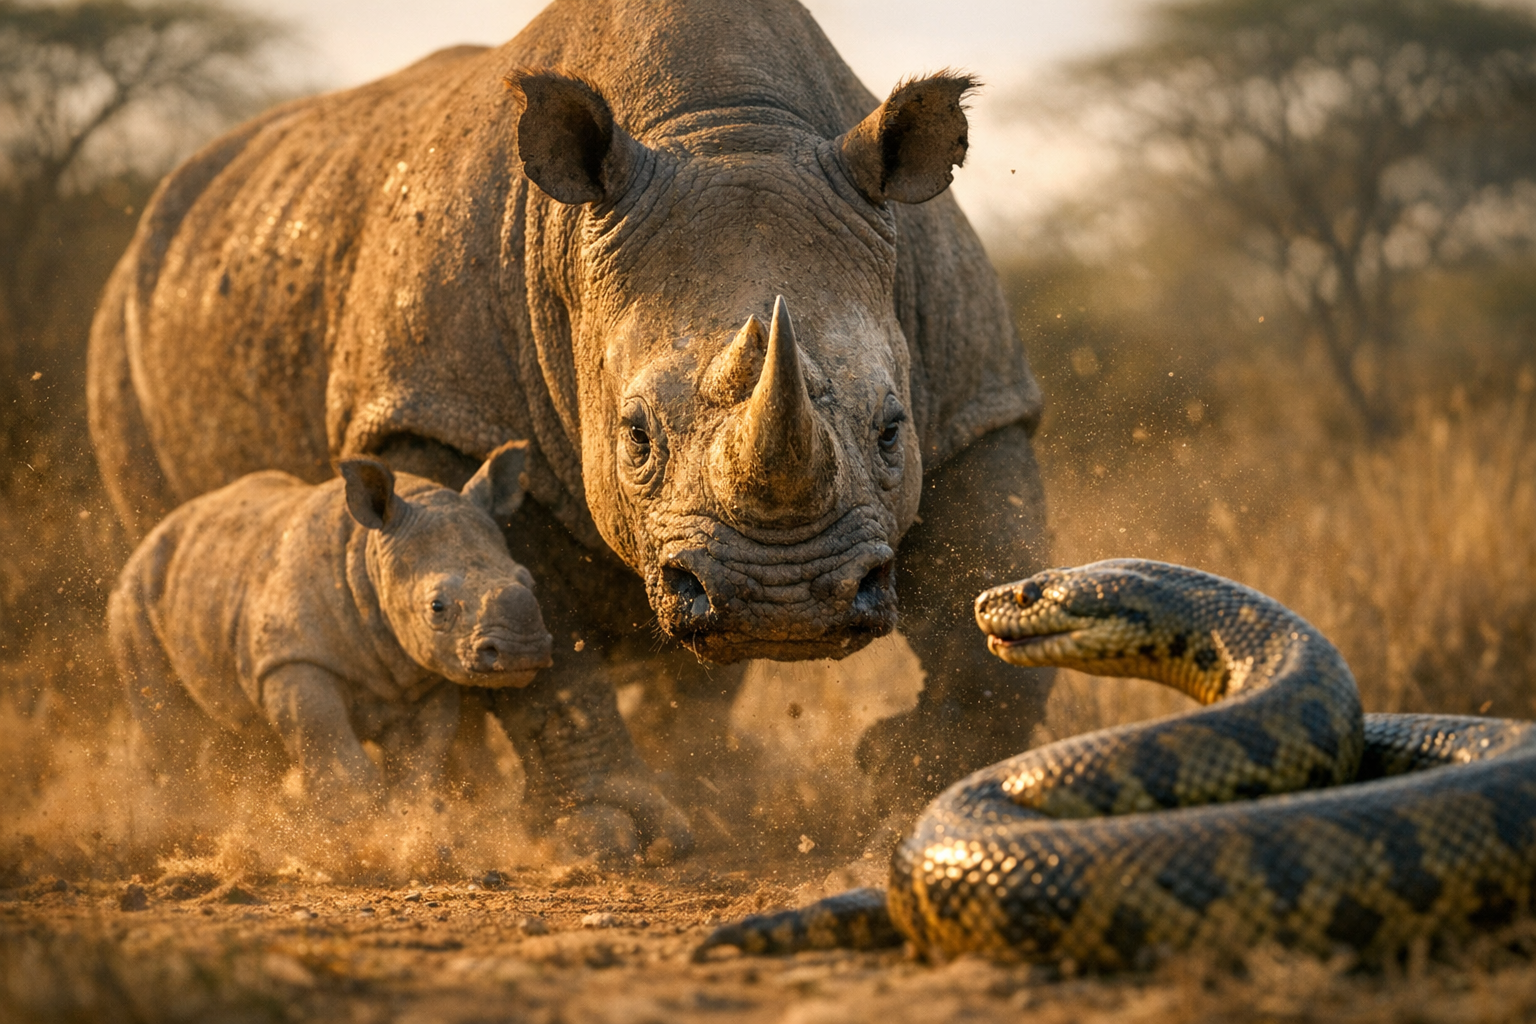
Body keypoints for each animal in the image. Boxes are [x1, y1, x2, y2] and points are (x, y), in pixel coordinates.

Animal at [109, 442, 576, 827]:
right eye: (437, 607)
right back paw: (180, 828)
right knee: (173, 731)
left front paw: (409, 835)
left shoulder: (423, 674)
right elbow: (340, 761)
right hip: (136, 595)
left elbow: (419, 768)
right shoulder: (294, 657)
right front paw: (359, 839)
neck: (368, 556)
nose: (521, 653)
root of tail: (152, 535)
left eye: (529, 580)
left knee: (246, 740)